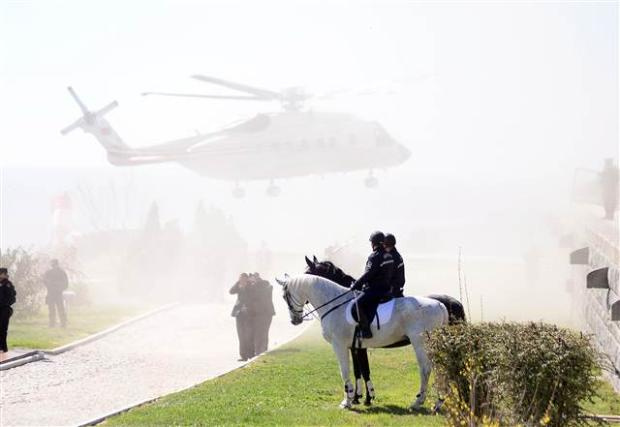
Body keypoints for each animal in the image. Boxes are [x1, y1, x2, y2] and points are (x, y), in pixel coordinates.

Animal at [278, 274, 448, 412]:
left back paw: (418, 402)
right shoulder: (355, 347)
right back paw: (438, 402)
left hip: (420, 343)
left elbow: (345, 371)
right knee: (439, 369)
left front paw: (347, 402)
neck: (335, 305)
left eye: (285, 296)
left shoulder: (339, 345)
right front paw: (360, 398)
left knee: (426, 369)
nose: (295, 321)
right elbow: (359, 371)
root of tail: (439, 305)